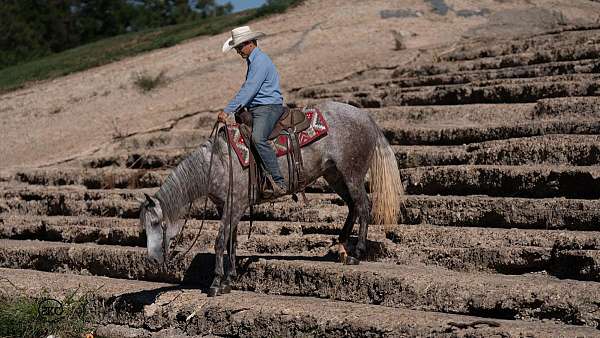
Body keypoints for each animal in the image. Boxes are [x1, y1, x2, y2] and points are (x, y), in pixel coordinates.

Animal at [139, 100, 404, 296]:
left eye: (156, 223)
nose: (152, 259)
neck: (218, 163)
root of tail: (366, 117)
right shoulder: (228, 208)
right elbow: (232, 242)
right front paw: (229, 280)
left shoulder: (234, 206)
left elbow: (220, 241)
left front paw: (215, 284)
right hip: (334, 175)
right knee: (352, 207)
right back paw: (341, 248)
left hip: (352, 173)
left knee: (363, 206)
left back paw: (356, 253)